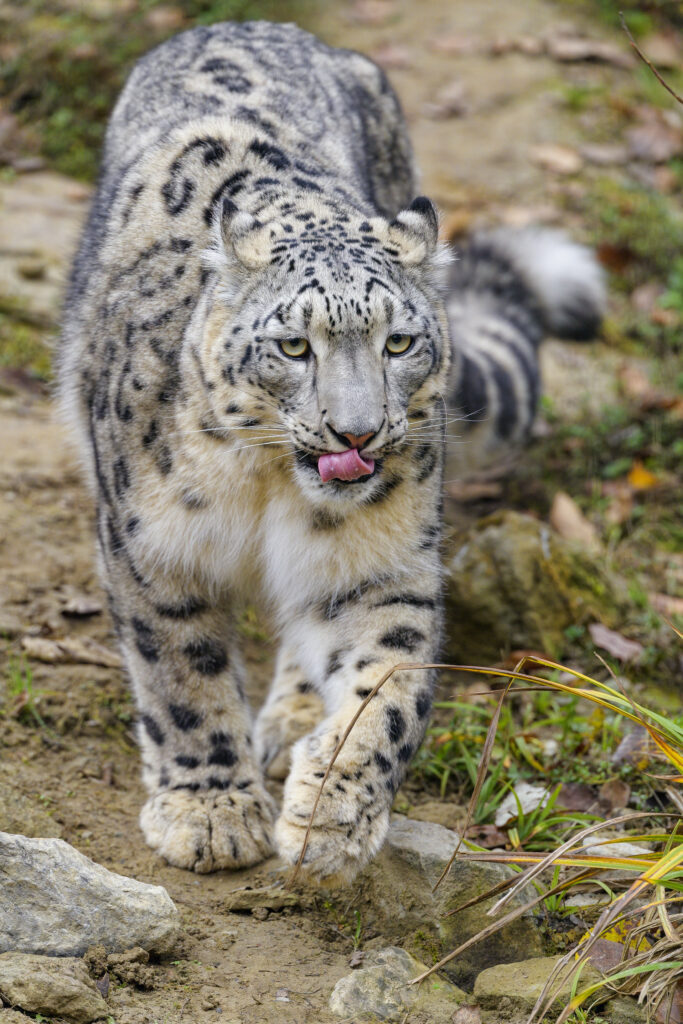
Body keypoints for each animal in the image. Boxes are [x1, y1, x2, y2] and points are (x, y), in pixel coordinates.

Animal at [59, 20, 604, 886]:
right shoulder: (152, 547)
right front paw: (211, 813)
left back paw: (294, 721)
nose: (356, 432)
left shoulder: (381, 562)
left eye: (399, 342)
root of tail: (256, 23)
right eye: (292, 345)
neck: (266, 486)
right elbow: (180, 672)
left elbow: (387, 687)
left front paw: (332, 816)